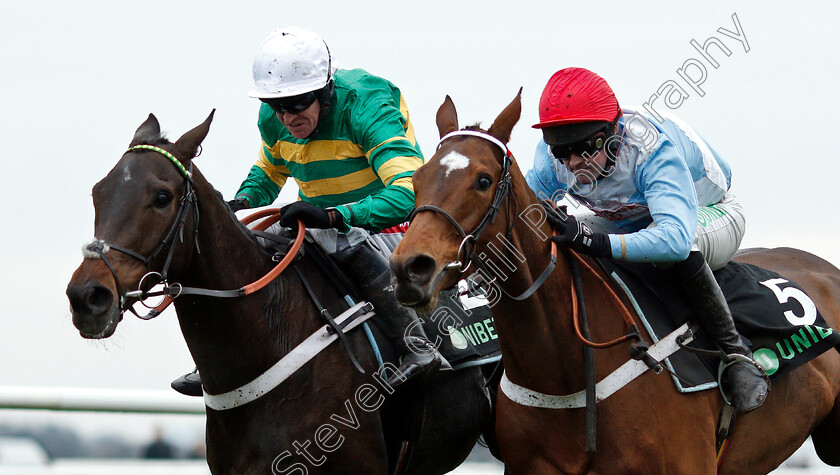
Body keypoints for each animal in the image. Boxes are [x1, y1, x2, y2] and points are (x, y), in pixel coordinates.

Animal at [390, 91, 840, 474]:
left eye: (483, 181)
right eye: (416, 179)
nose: (410, 267)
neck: (563, 371)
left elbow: (677, 239)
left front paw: (574, 231)